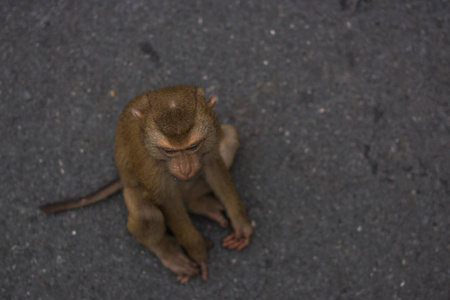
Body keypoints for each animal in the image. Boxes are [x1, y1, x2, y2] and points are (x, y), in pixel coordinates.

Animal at [39, 85, 253, 284]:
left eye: (193, 146)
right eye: (169, 151)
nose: (185, 169)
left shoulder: (212, 136)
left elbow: (214, 165)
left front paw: (241, 224)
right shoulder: (146, 160)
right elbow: (167, 203)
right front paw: (198, 254)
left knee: (230, 136)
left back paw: (197, 203)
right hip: (131, 192)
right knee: (147, 216)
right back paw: (170, 253)